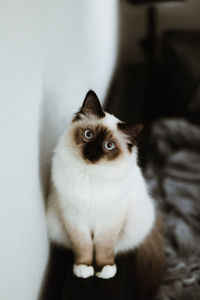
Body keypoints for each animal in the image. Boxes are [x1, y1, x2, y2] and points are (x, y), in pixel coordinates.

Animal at [46, 89, 164, 284]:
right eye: (88, 135)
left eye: (109, 146)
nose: (92, 153)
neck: (90, 176)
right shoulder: (74, 218)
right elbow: (84, 246)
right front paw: (84, 267)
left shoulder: (110, 220)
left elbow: (104, 247)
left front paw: (104, 269)